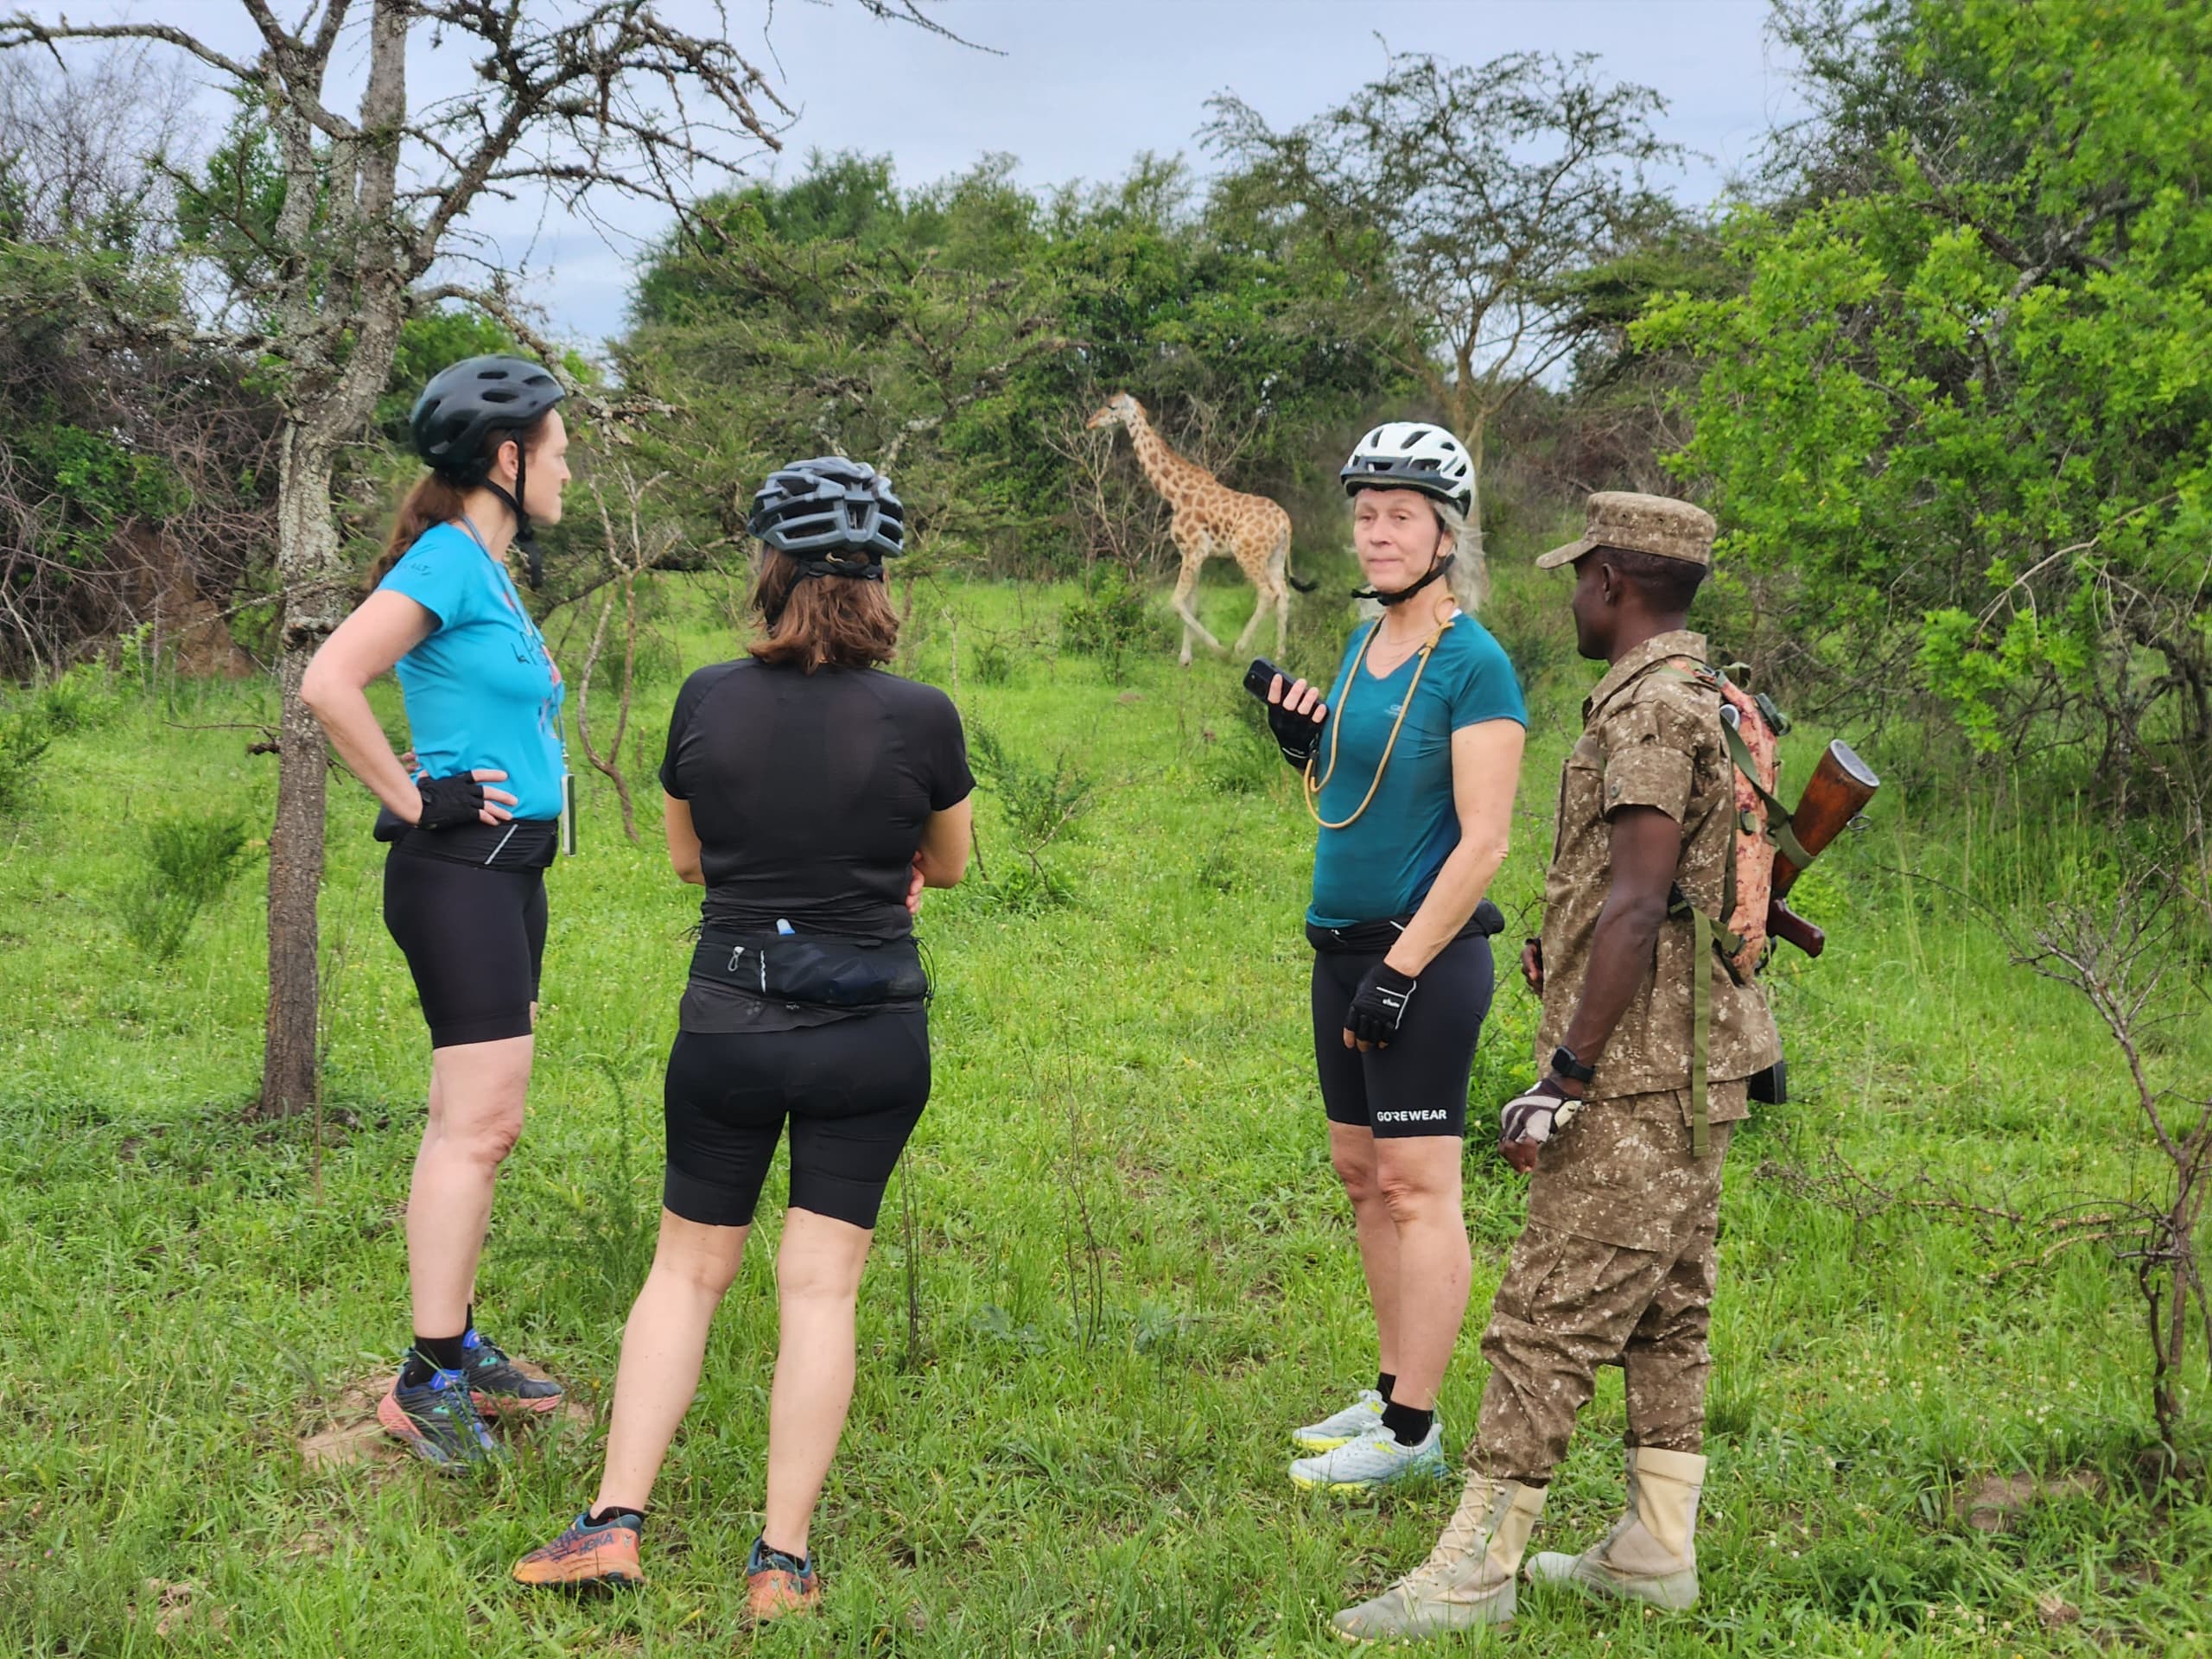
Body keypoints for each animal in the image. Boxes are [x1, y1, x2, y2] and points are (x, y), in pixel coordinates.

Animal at [1088, 393, 1309, 668]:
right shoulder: (1194, 553)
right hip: (1275, 556)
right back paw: (1281, 655)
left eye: (1112, 406)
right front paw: (1185, 658)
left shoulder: (1193, 550)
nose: (1090, 422)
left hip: (1249, 554)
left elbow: (1176, 601)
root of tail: (1285, 523)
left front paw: (1216, 649)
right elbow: (1190, 603)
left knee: (1268, 593)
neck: (1175, 493)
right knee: (1284, 595)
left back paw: (1239, 648)